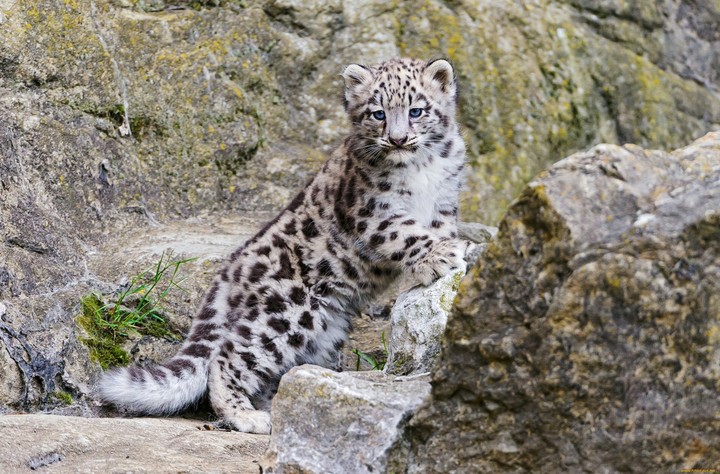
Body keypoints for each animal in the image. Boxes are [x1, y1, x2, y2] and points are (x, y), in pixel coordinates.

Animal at [98, 57, 469, 434]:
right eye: (377, 113)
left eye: (416, 110)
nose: (397, 139)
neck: (421, 169)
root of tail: (230, 272)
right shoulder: (372, 213)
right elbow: (405, 234)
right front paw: (444, 254)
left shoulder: (443, 204)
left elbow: (438, 231)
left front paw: (446, 255)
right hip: (286, 310)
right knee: (229, 357)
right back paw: (248, 417)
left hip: (324, 332)